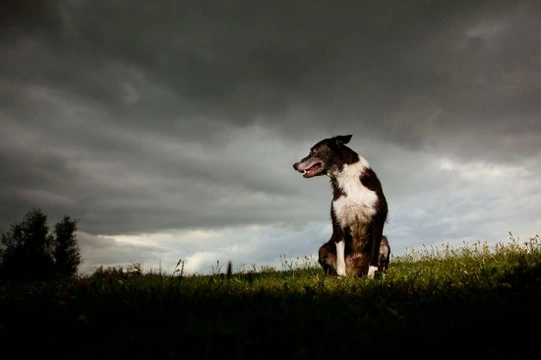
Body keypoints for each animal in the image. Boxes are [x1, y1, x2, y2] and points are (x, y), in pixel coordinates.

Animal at [292, 135, 388, 278]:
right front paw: (342, 279)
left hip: (384, 242)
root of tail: (355, 271)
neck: (347, 178)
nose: (294, 165)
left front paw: (370, 279)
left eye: (314, 151)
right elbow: (340, 261)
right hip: (323, 249)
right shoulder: (338, 223)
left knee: (382, 266)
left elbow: (373, 259)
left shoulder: (377, 222)